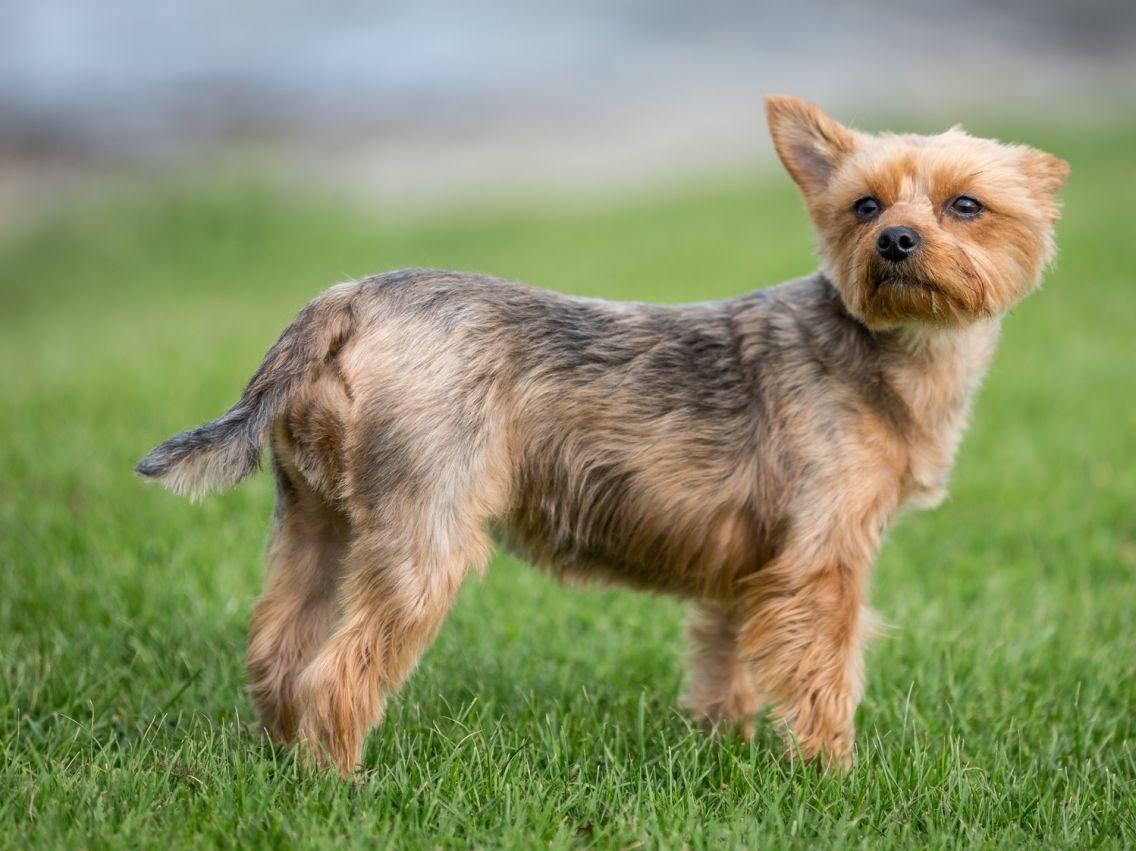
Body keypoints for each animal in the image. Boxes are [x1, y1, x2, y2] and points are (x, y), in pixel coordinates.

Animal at [137, 96, 1067, 772]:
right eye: (863, 205)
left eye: (967, 206)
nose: (896, 240)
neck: (886, 352)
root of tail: (347, 299)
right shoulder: (822, 565)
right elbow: (826, 676)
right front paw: (831, 774)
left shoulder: (746, 568)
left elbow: (725, 663)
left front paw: (725, 748)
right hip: (427, 527)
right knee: (337, 670)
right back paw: (341, 778)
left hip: (318, 517)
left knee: (279, 645)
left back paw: (283, 755)